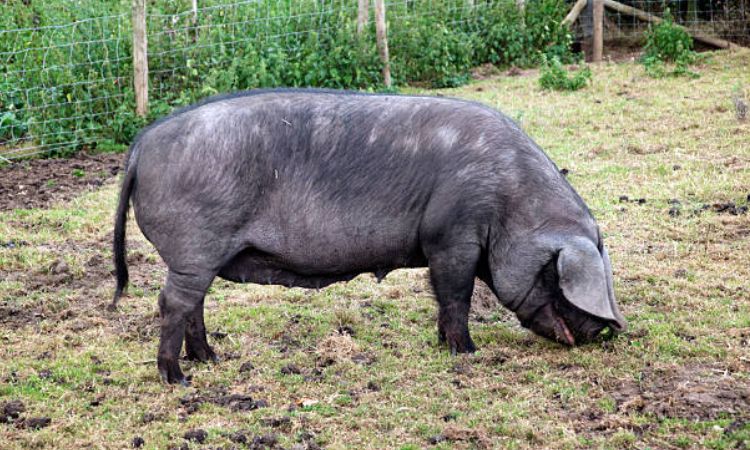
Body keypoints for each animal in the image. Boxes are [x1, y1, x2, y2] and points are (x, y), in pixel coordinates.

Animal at [112, 89, 627, 385]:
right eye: (557, 275)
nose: (601, 331)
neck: (511, 202)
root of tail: (142, 144)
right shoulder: (453, 237)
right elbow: (456, 295)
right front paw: (467, 351)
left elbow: (442, 297)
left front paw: (442, 345)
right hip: (195, 245)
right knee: (173, 303)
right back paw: (178, 378)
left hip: (201, 255)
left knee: (194, 304)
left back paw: (211, 360)